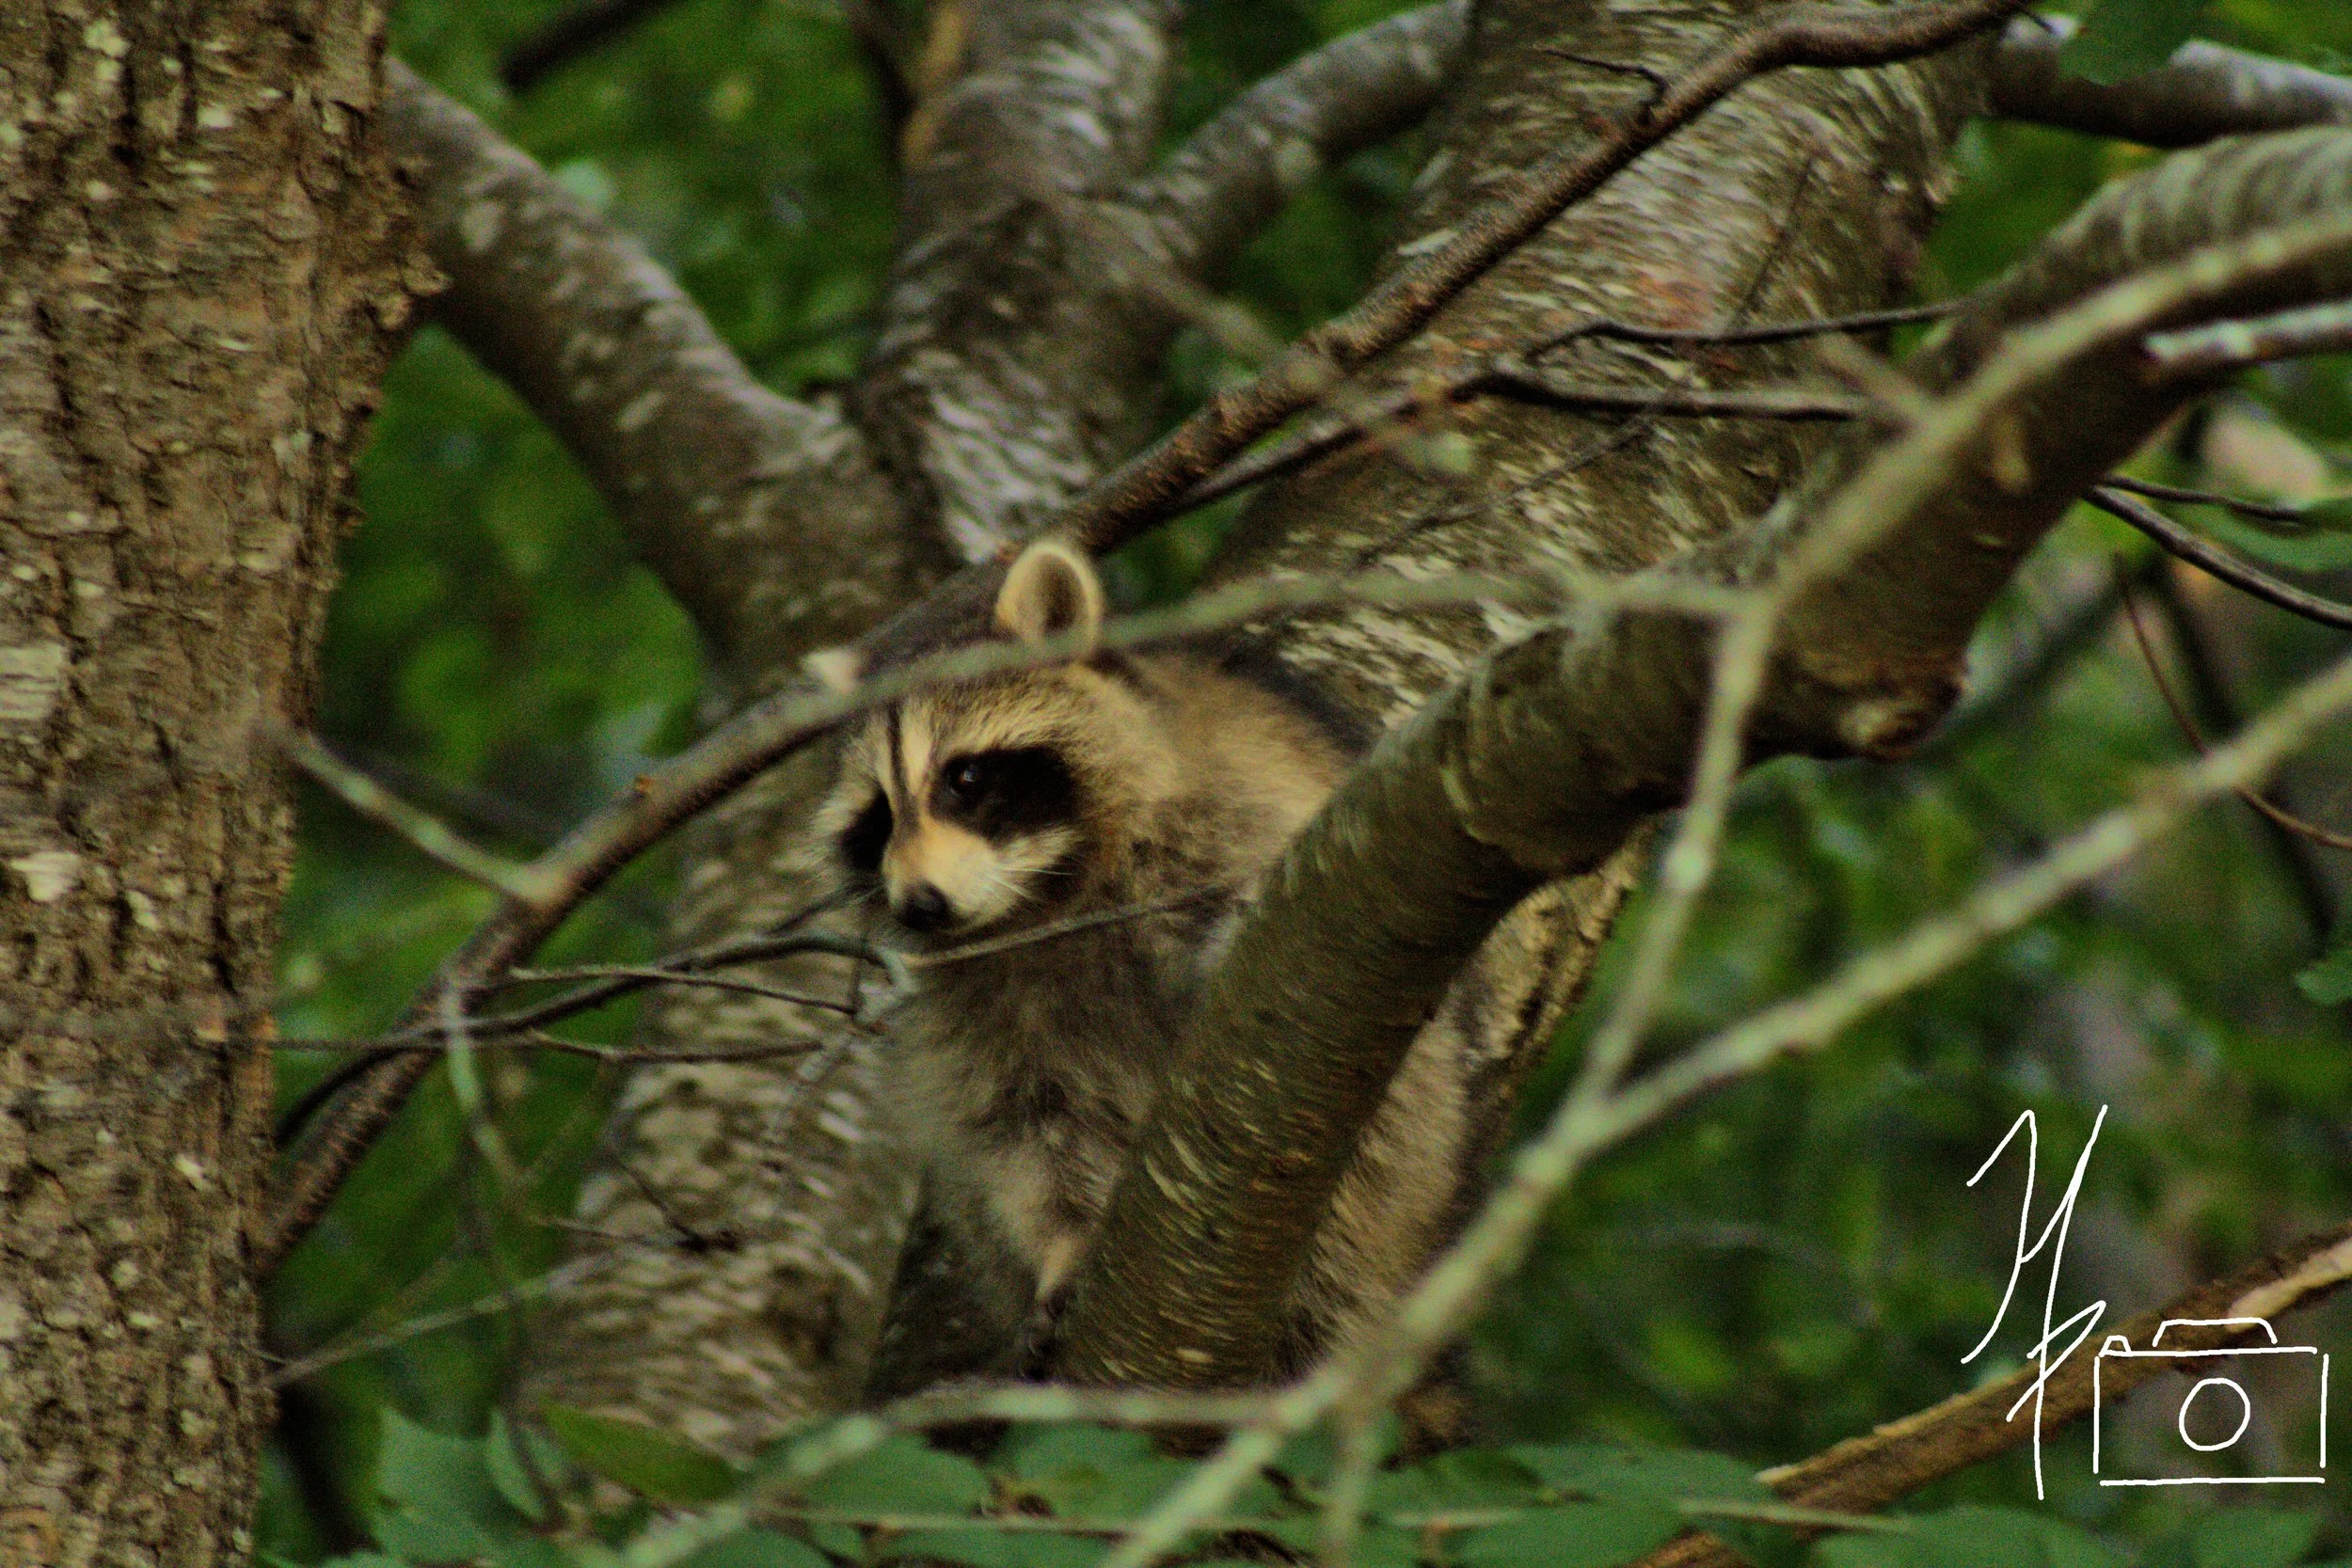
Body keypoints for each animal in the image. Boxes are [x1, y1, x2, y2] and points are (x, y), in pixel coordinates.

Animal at [822, 538, 1474, 1383]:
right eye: (878, 817)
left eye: (965, 778)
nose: (918, 906)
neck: (1045, 895)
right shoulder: (978, 999)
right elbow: (1023, 1121)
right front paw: (1060, 1246)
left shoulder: (1236, 818)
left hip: (1412, 1155)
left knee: (1385, 1138)